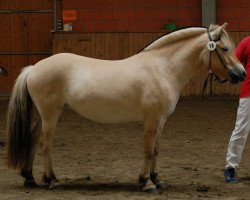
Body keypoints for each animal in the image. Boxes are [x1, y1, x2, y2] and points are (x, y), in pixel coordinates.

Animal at [5, 23, 246, 192]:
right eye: (224, 48)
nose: (241, 74)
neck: (163, 68)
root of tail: (34, 67)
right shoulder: (152, 119)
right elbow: (148, 150)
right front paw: (146, 183)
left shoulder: (161, 120)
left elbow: (156, 149)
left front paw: (157, 179)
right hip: (50, 114)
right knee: (46, 144)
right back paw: (52, 180)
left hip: (42, 115)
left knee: (32, 140)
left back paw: (30, 178)